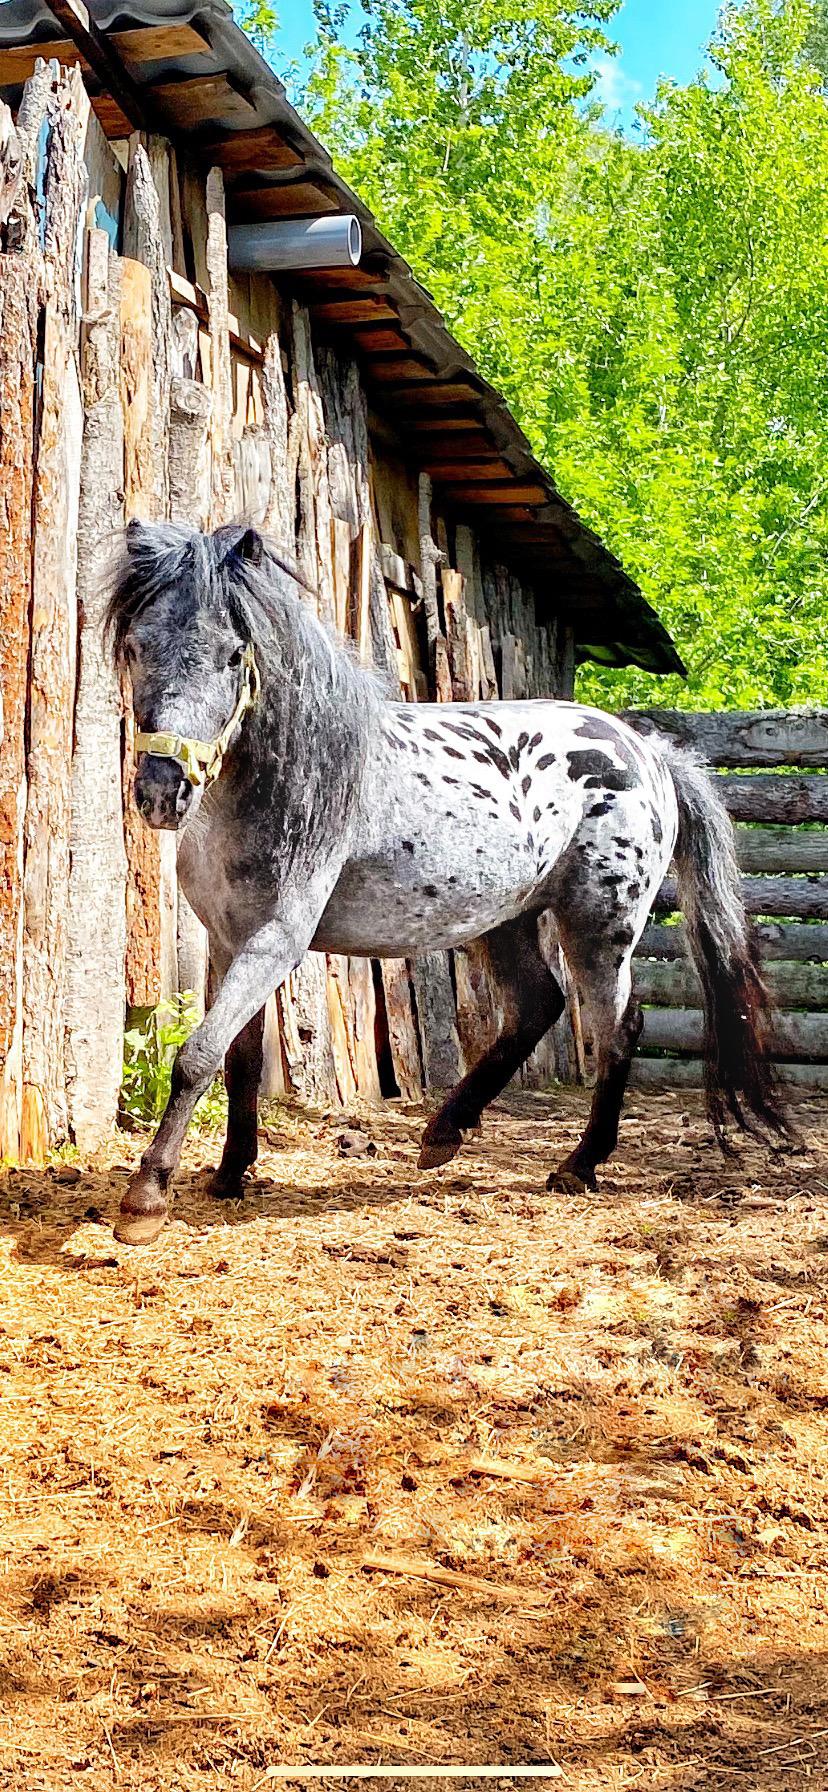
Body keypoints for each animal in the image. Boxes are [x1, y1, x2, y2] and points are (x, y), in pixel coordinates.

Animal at [109, 523, 788, 1240]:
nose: (163, 791)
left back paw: (578, 1165)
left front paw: (146, 1198)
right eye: (136, 645)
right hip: (506, 918)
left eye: (235, 654)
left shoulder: (275, 940)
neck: (295, 778)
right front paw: (230, 1173)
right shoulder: (227, 939)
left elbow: (197, 1056)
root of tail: (650, 754)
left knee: (617, 1028)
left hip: (601, 927)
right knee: (539, 1004)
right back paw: (444, 1133)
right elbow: (236, 1060)